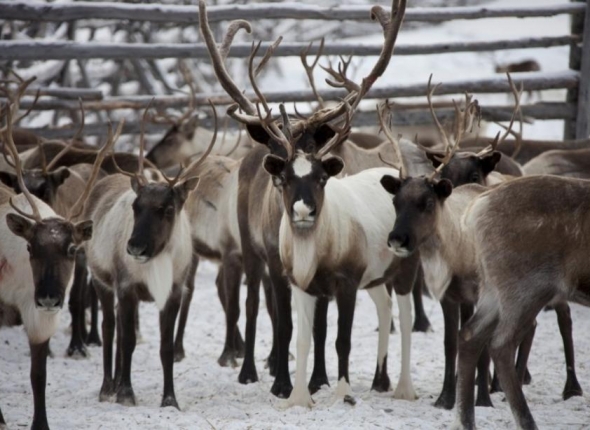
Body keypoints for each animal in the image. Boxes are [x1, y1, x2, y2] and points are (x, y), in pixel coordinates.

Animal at [82, 101, 217, 408]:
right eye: (136, 206)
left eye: (167, 209)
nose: (135, 247)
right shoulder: (126, 286)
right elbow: (128, 340)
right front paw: (125, 393)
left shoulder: (173, 292)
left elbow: (165, 347)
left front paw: (170, 399)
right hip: (101, 280)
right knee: (109, 328)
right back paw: (108, 387)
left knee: (119, 329)